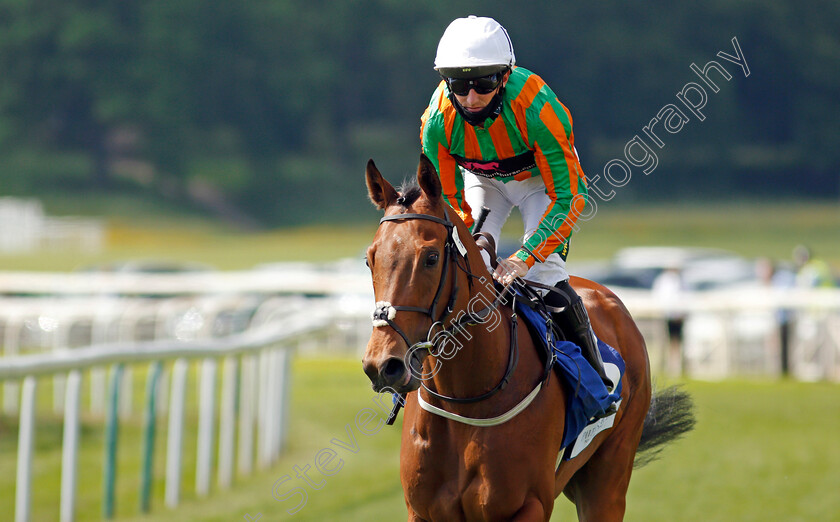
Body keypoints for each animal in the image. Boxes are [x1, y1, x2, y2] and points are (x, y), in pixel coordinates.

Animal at [360, 155, 696, 520]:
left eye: (431, 258)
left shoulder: (529, 505)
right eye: (370, 259)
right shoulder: (422, 511)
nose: (383, 365)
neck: (466, 398)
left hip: (608, 478)